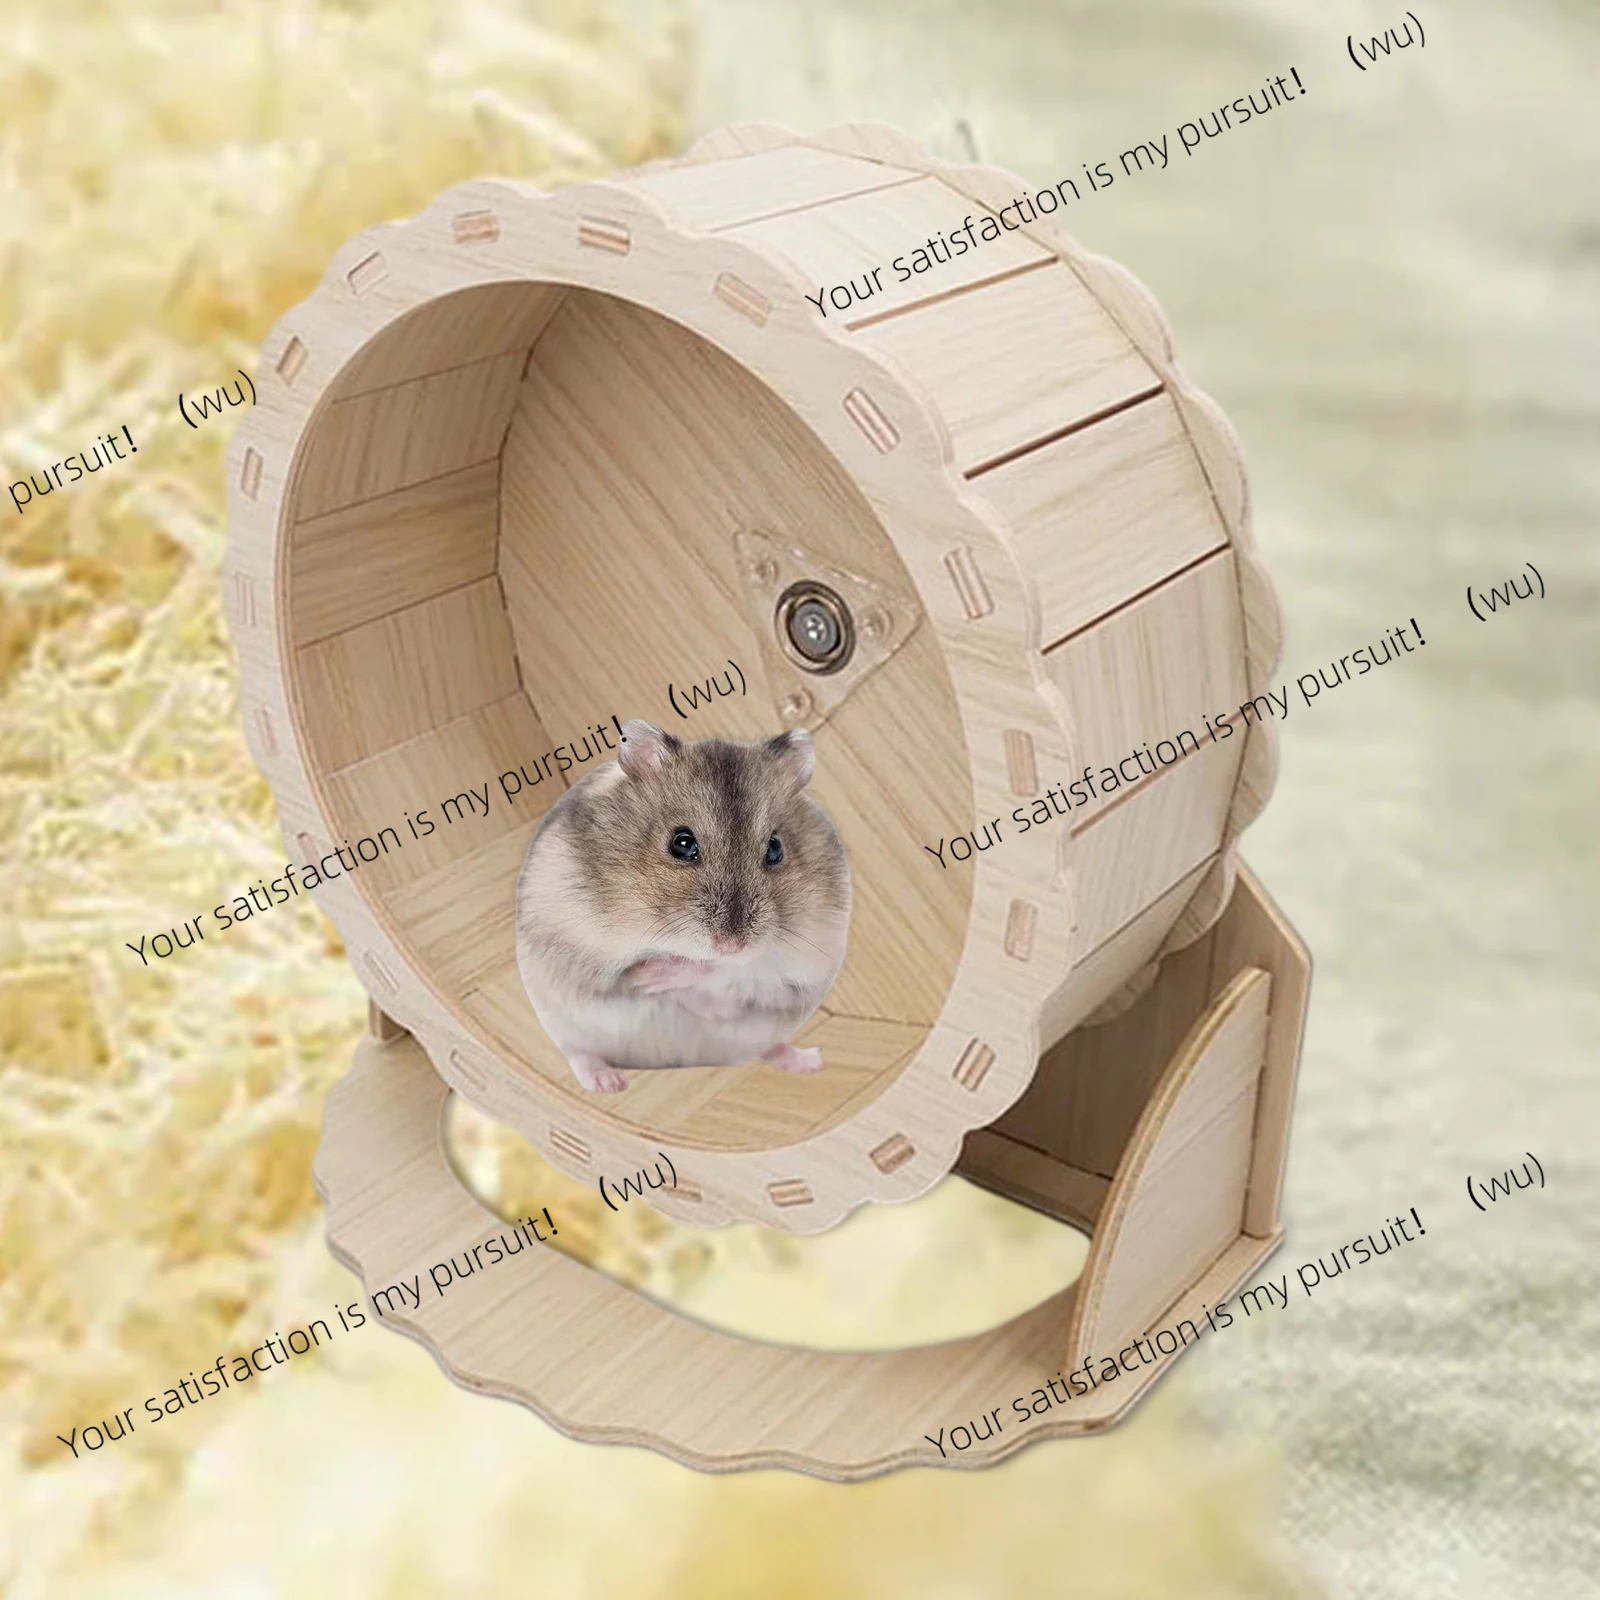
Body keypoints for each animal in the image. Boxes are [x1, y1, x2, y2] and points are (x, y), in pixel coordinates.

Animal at [513, 719, 852, 1094]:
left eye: (775, 848)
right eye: (682, 843)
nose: (731, 945)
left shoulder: (800, 973)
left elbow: (731, 977)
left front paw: (672, 975)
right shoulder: (578, 945)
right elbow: (636, 974)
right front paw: (649, 975)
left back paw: (810, 1060)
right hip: (561, 1024)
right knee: (579, 1055)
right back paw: (610, 1083)